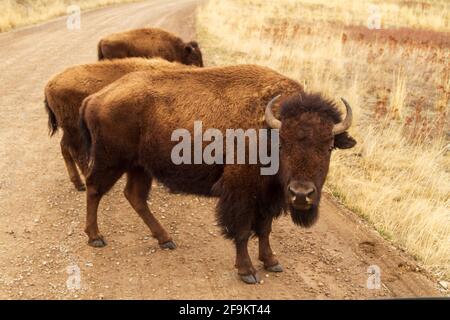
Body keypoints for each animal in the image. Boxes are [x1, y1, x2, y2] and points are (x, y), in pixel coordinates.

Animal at [42, 57, 190, 190]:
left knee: (65, 147)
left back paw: (78, 183)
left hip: (69, 131)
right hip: (75, 131)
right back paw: (85, 180)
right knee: (77, 153)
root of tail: (49, 85)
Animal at [79, 63, 356, 284]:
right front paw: (247, 272)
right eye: (283, 144)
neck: (267, 129)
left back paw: (165, 239)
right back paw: (96, 237)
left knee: (134, 196)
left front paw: (271, 262)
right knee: (94, 189)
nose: (301, 194)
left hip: (140, 167)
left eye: (329, 146)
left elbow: (265, 229)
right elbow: (242, 231)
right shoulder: (241, 194)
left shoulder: (268, 197)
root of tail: (96, 97)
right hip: (111, 161)